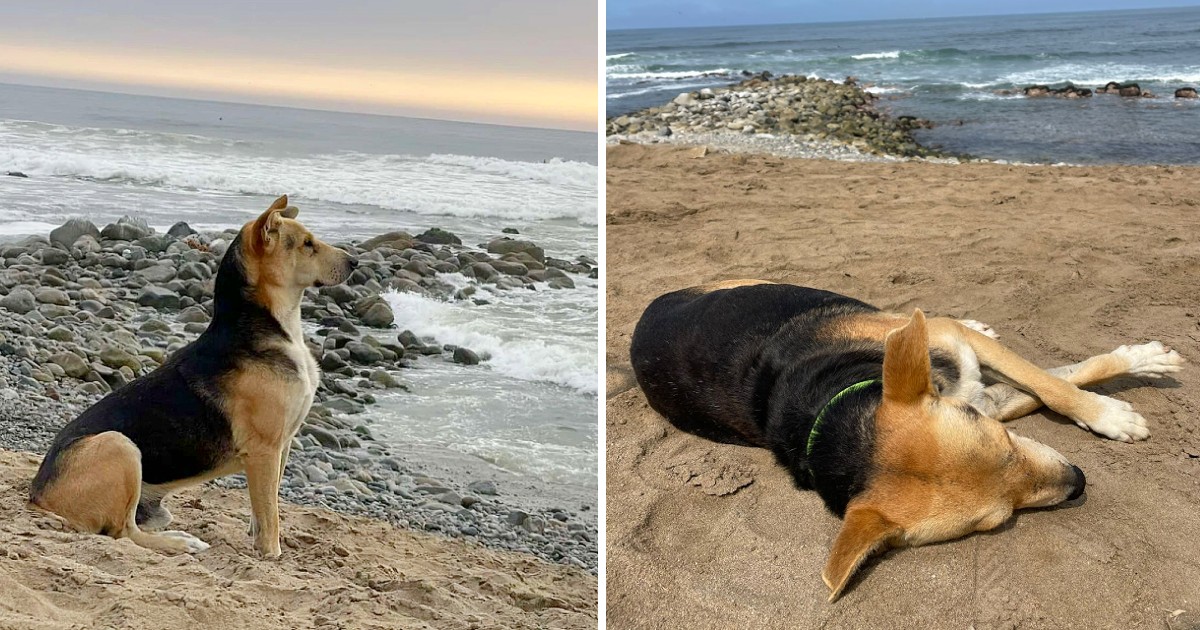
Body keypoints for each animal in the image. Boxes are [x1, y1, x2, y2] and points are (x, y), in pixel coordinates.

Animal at [27, 195, 355, 554]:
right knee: (124, 532)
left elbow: (263, 508)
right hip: (120, 445)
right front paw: (272, 555)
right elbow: (270, 515)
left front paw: (257, 541)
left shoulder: (281, 447)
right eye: (307, 244)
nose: (355, 263)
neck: (270, 326)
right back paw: (180, 542)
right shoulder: (265, 450)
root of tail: (38, 495)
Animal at [628, 279, 1180, 600]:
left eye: (1005, 442)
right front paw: (1113, 403)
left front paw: (1118, 398)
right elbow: (1053, 382)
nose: (1079, 481)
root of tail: (649, 308)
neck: (835, 407)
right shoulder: (982, 396)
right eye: (996, 521)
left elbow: (1055, 382)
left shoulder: (967, 372)